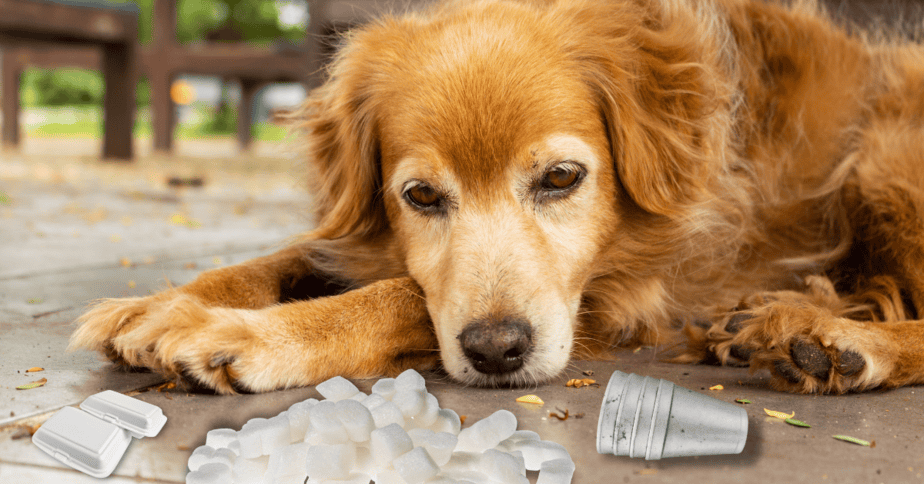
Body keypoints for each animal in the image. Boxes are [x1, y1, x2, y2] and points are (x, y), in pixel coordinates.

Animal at [70, 0, 924, 394]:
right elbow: (291, 257)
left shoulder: (628, 292)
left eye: (562, 178)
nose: (495, 351)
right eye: (420, 195)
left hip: (883, 159)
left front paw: (247, 336)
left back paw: (843, 345)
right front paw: (163, 305)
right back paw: (770, 319)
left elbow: (398, 295)